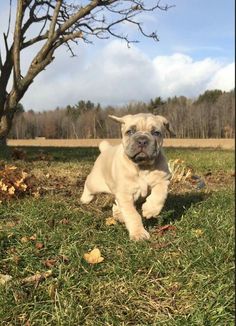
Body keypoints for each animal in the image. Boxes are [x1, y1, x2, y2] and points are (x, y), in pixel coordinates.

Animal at [81, 113, 173, 241]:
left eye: (156, 133)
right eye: (130, 132)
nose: (142, 140)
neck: (142, 166)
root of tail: (106, 149)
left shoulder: (163, 180)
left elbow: (159, 194)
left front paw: (150, 209)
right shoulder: (125, 194)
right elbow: (133, 215)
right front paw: (139, 234)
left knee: (116, 203)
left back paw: (119, 215)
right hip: (96, 183)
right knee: (88, 185)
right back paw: (85, 199)